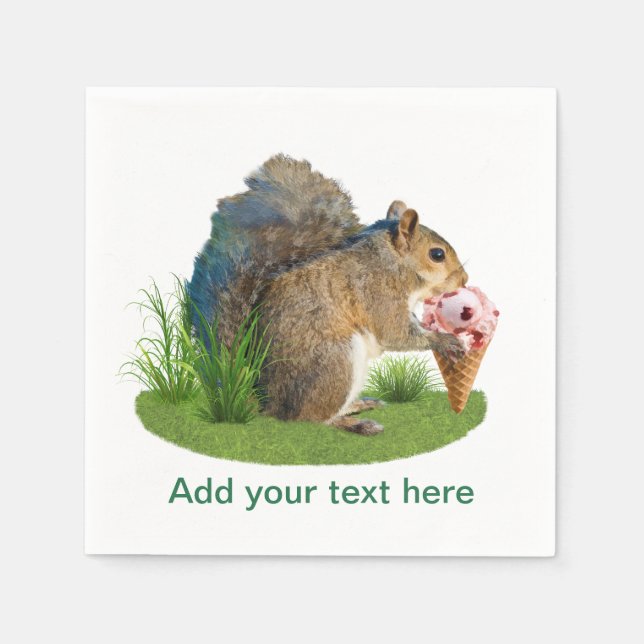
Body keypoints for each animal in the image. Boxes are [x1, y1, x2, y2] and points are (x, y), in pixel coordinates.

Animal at [188, 154, 468, 435]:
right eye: (437, 254)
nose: (464, 280)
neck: (393, 262)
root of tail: (268, 402)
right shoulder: (378, 293)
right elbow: (396, 334)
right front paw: (444, 341)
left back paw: (360, 405)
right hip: (336, 362)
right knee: (311, 417)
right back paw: (356, 424)